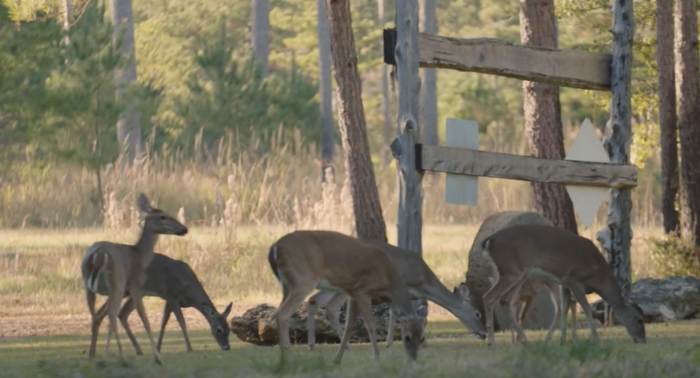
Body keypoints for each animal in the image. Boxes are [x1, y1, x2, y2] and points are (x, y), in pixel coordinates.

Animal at [81, 193, 189, 364]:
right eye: (163, 216)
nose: (184, 229)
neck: (140, 254)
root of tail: (98, 255)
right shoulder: (135, 287)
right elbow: (144, 318)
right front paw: (157, 357)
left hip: (88, 285)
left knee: (95, 315)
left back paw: (93, 356)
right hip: (117, 282)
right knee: (111, 316)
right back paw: (117, 358)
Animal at [89, 252, 232, 356]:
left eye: (229, 329)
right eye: (219, 330)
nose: (227, 347)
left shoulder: (168, 301)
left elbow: (163, 322)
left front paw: (157, 348)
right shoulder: (172, 296)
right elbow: (181, 322)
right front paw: (189, 348)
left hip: (136, 293)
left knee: (120, 313)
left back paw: (137, 350)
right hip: (123, 289)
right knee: (105, 312)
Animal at [266, 229, 424, 364]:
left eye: (422, 338)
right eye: (407, 337)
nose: (413, 358)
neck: (388, 280)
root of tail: (274, 247)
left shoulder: (353, 294)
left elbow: (349, 325)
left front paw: (337, 360)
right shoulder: (362, 291)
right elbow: (370, 325)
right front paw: (377, 358)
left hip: (287, 285)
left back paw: (283, 358)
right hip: (303, 280)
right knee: (282, 313)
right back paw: (290, 358)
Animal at [306, 238, 486, 350]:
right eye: (477, 313)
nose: (484, 333)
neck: (424, 282)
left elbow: (399, 313)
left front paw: (392, 342)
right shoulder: (401, 285)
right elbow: (401, 313)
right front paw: (407, 342)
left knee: (314, 299)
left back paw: (312, 344)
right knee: (331, 306)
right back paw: (346, 346)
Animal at [482, 224, 644, 348]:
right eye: (639, 319)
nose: (642, 340)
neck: (598, 274)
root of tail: (488, 241)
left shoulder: (564, 283)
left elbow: (564, 308)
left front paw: (562, 340)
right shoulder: (573, 279)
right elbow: (585, 307)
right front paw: (595, 339)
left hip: (519, 275)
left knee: (505, 301)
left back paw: (525, 341)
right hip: (511, 271)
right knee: (489, 297)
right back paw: (492, 343)